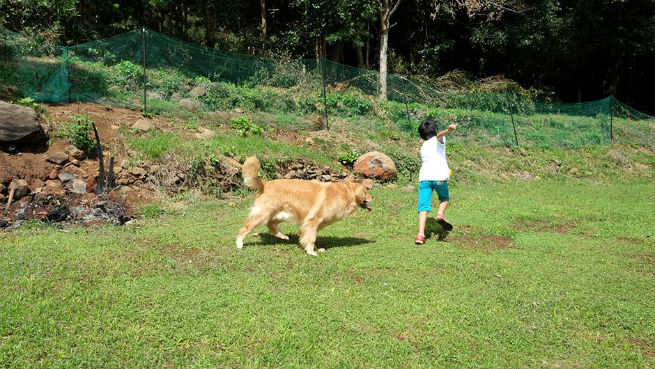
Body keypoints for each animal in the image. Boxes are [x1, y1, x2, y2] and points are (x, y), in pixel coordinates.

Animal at [237, 154, 374, 254]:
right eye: (366, 192)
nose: (373, 197)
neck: (346, 194)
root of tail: (265, 183)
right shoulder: (312, 220)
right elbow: (311, 237)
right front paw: (311, 251)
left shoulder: (311, 223)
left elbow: (310, 237)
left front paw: (315, 248)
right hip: (264, 213)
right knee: (246, 227)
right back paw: (239, 243)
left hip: (283, 213)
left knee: (271, 225)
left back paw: (283, 236)